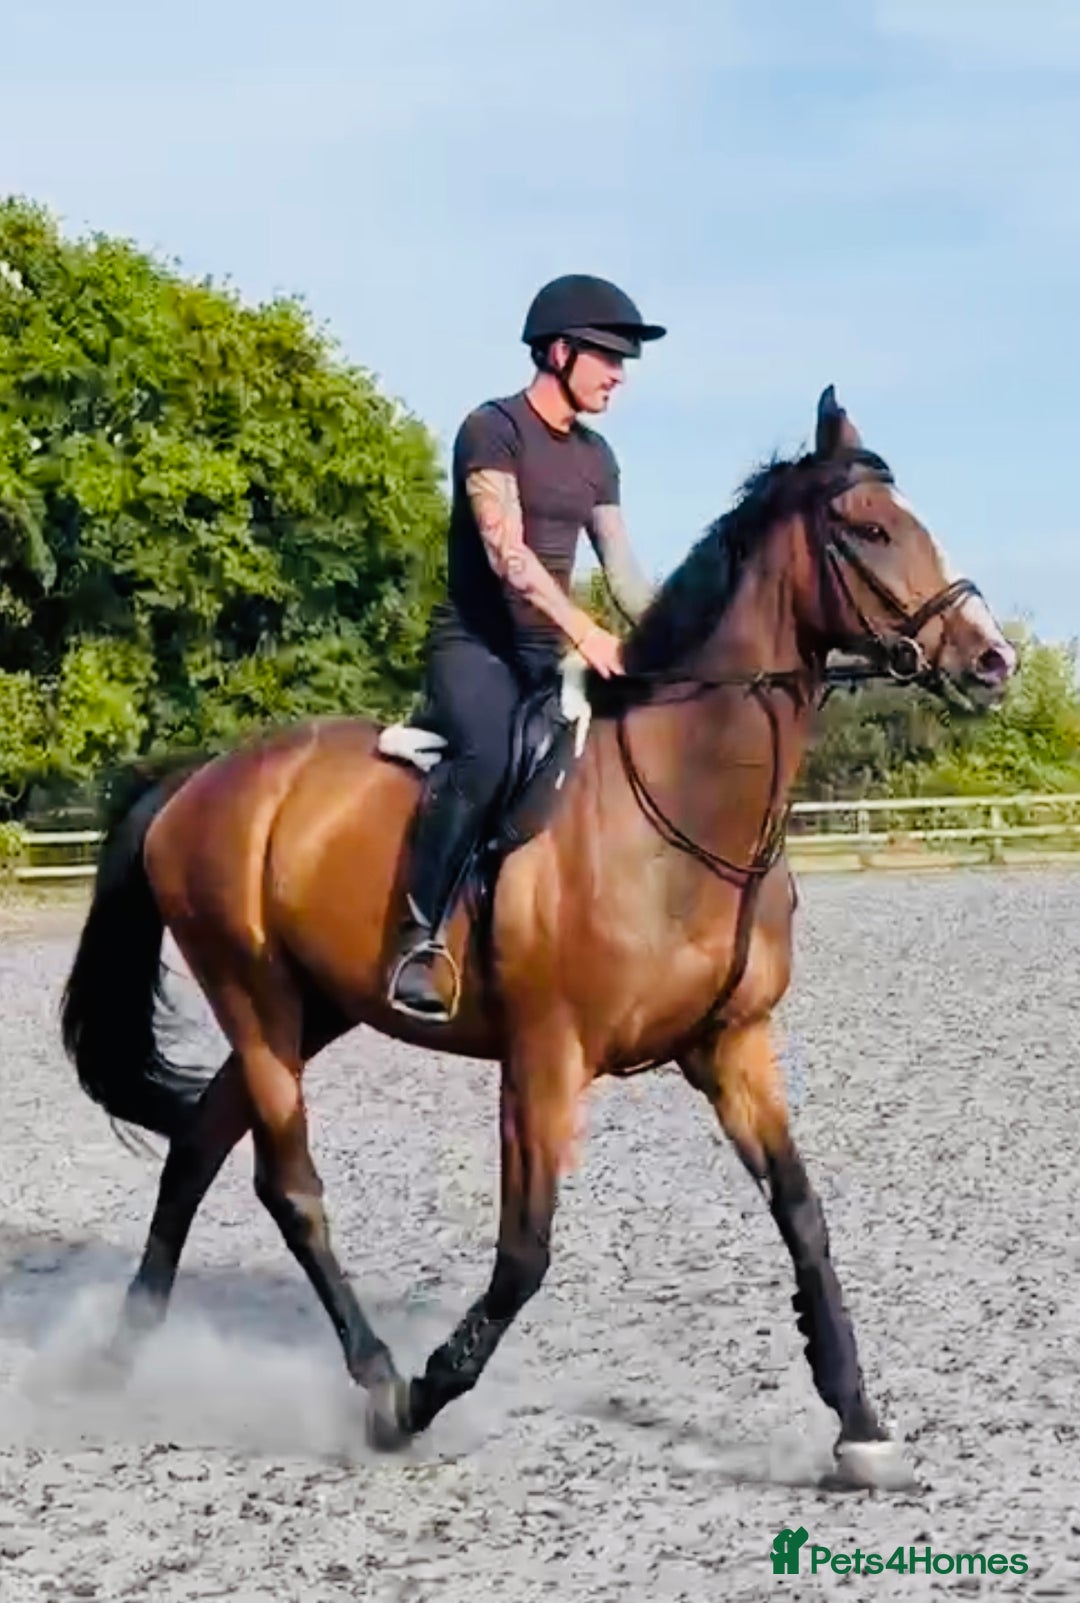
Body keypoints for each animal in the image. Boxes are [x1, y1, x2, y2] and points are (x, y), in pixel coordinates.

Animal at [60, 386, 1016, 1487]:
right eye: (867, 530)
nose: (993, 659)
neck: (682, 800)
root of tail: (200, 778)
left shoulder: (734, 1047)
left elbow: (803, 1214)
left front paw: (859, 1424)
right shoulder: (545, 1059)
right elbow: (524, 1253)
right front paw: (425, 1395)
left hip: (317, 1006)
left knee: (198, 1148)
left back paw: (121, 1354)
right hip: (253, 998)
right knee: (286, 1183)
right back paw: (375, 1380)